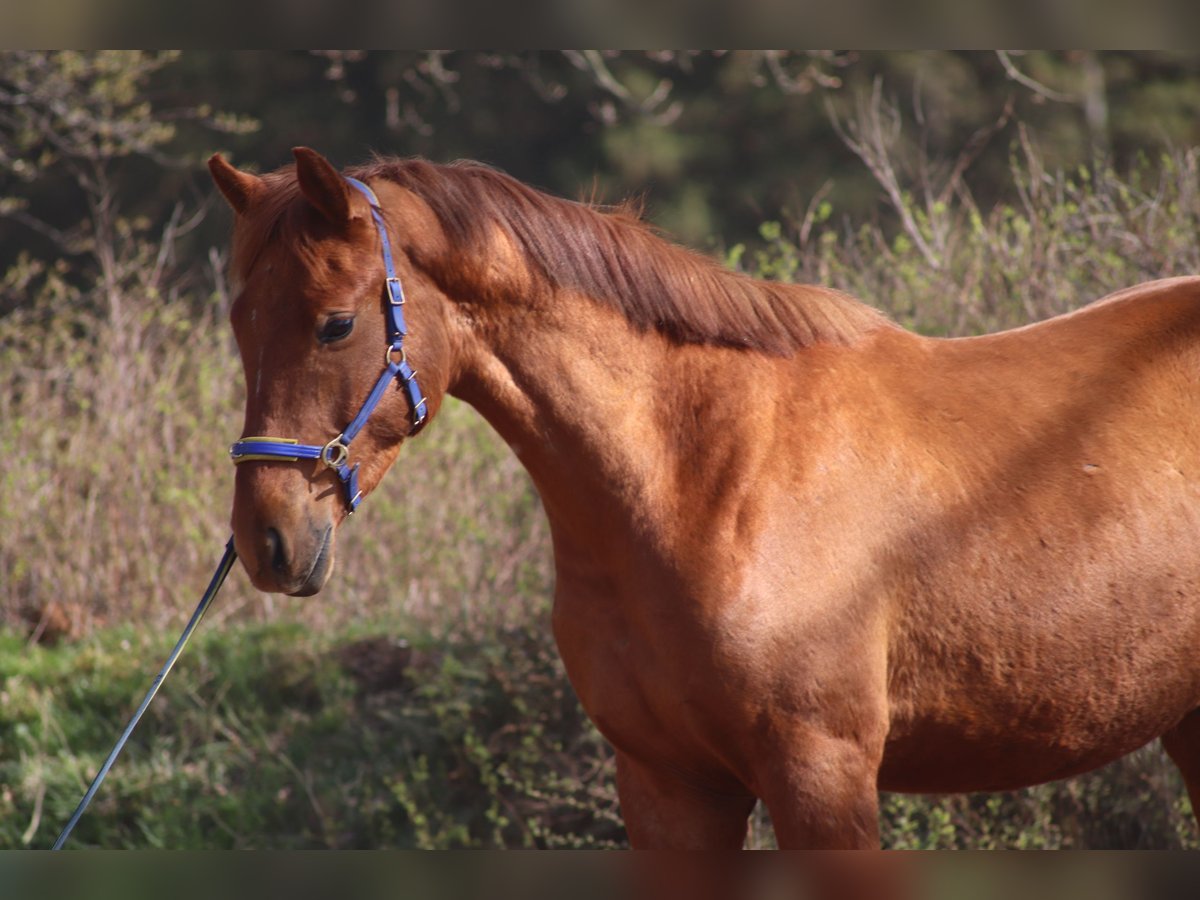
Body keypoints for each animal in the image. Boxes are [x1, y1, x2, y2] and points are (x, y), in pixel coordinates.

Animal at [211, 148, 1200, 854]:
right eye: (239, 321)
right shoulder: (670, 787)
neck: (704, 479)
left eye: (337, 323)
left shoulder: (823, 774)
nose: (267, 539)